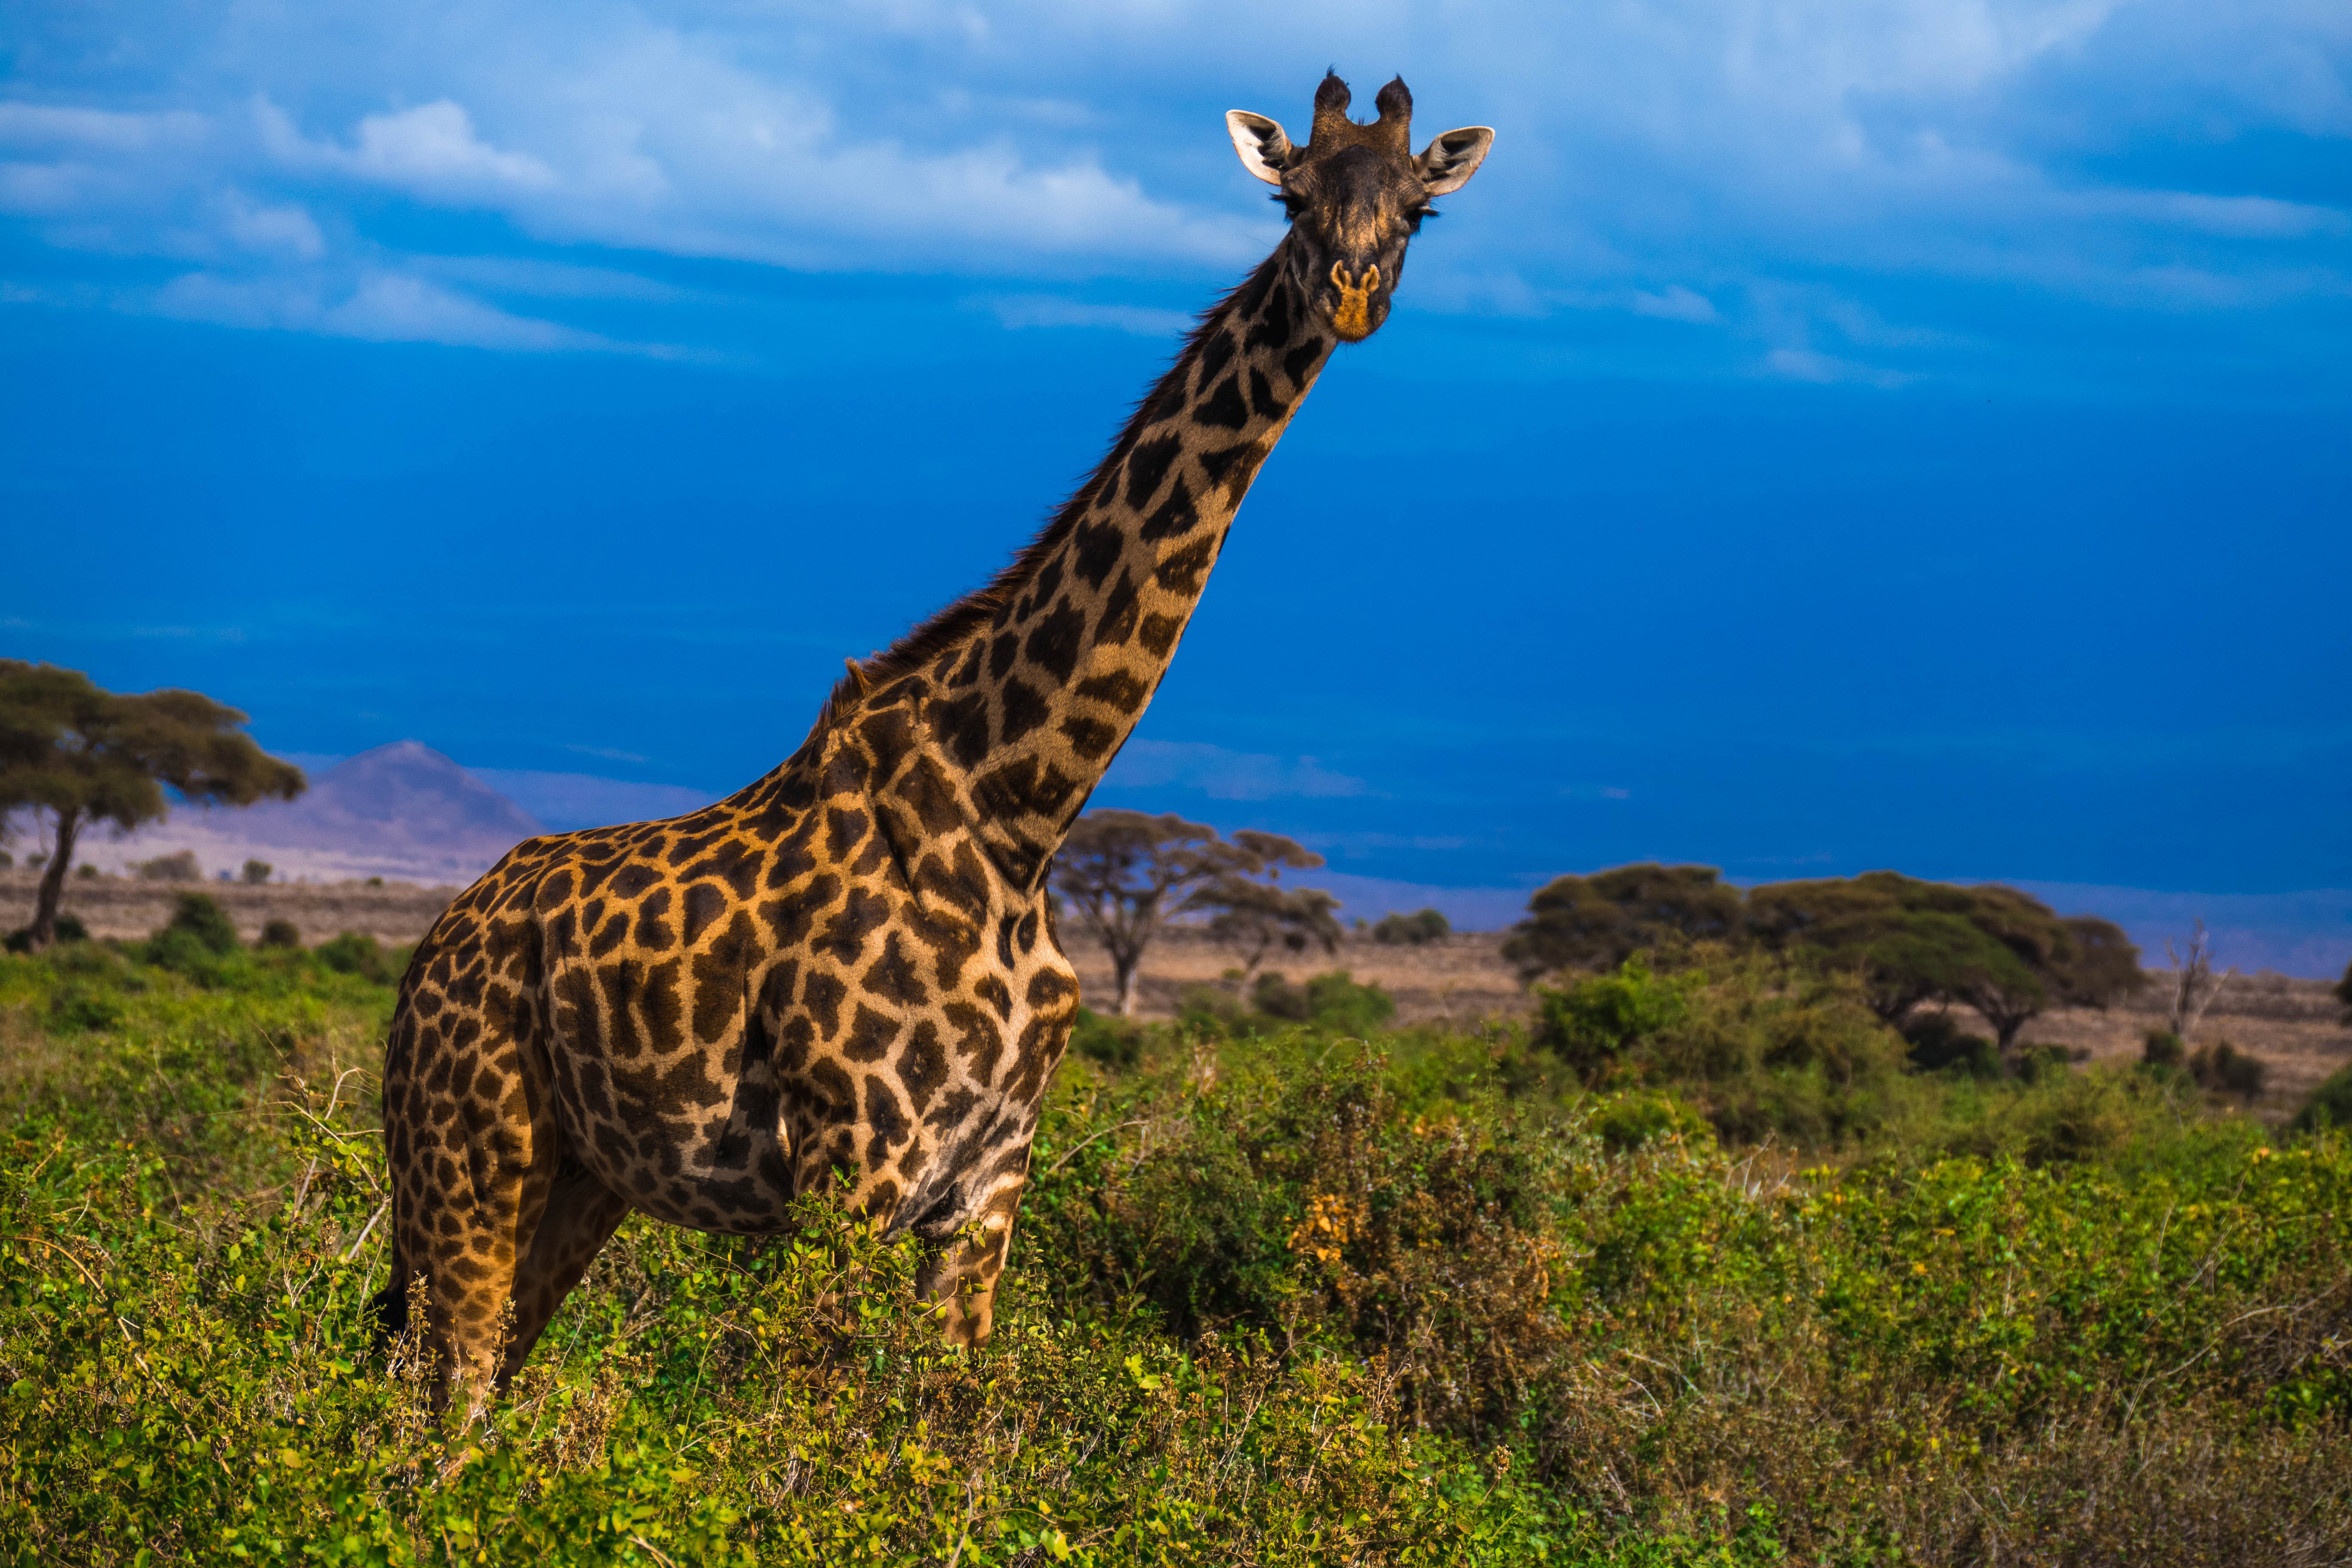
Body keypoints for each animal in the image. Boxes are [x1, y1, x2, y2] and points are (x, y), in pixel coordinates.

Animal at [376, 70, 1496, 1410]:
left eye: (1420, 208)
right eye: (1290, 196)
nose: (1350, 292)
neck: (1023, 808)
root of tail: (433, 948)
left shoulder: (988, 1183)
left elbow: (948, 1418)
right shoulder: (852, 1168)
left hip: (580, 1178)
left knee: (472, 1380)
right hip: (468, 1148)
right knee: (438, 1385)